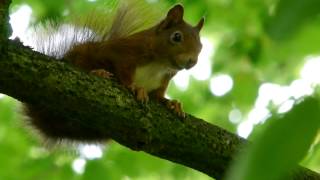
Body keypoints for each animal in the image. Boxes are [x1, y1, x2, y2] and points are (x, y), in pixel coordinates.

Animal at [26, 2, 204, 141]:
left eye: (201, 46)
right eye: (176, 37)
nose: (192, 61)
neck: (160, 65)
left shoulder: (163, 81)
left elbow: (159, 96)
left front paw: (173, 103)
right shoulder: (122, 52)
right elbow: (123, 71)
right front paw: (135, 87)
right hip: (83, 55)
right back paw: (98, 73)